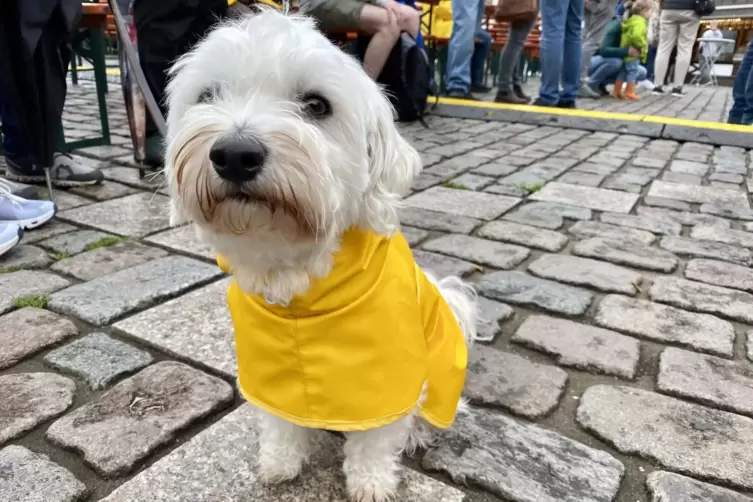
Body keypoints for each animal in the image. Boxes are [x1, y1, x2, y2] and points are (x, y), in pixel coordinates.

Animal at [165, 8, 476, 502]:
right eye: (207, 95)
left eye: (316, 105)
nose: (234, 154)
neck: (297, 285)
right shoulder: (267, 362)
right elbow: (280, 419)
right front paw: (281, 461)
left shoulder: (390, 374)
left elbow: (376, 437)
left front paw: (371, 483)